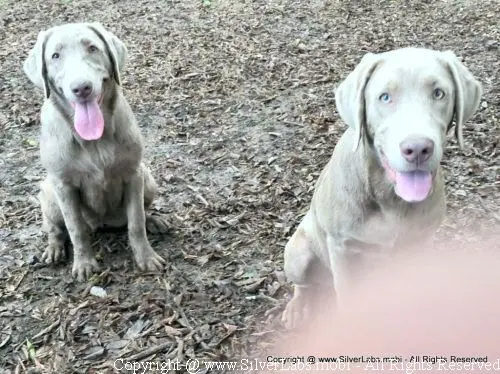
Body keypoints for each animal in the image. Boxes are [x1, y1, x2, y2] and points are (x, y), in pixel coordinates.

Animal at [23, 21, 167, 280]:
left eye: (92, 48)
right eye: (55, 56)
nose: (81, 88)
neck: (93, 139)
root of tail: (104, 223)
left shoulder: (133, 174)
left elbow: (136, 221)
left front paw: (146, 258)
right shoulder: (64, 186)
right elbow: (75, 229)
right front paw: (84, 265)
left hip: (148, 178)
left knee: (142, 211)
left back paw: (155, 221)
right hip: (48, 193)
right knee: (55, 227)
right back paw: (53, 249)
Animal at [282, 46, 480, 328]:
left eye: (438, 93)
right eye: (384, 97)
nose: (417, 148)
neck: (390, 199)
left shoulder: (420, 244)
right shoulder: (342, 248)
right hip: (299, 253)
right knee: (303, 284)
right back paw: (298, 308)